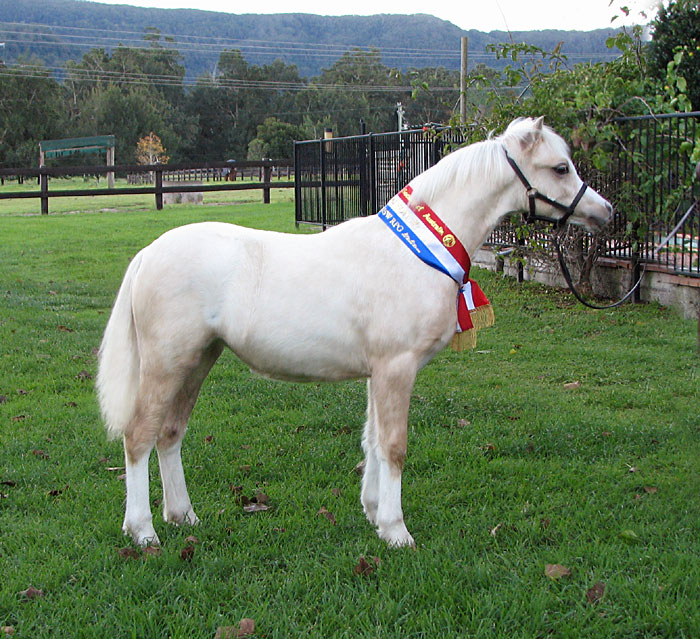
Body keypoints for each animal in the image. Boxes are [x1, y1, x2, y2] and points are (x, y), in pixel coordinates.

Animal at [97, 117, 613, 548]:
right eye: (560, 167)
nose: (605, 212)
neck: (416, 251)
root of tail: (147, 254)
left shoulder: (377, 371)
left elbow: (372, 441)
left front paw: (372, 512)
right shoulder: (397, 367)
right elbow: (394, 446)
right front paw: (397, 531)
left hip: (199, 359)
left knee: (169, 433)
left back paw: (183, 516)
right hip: (168, 364)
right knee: (139, 436)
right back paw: (142, 531)